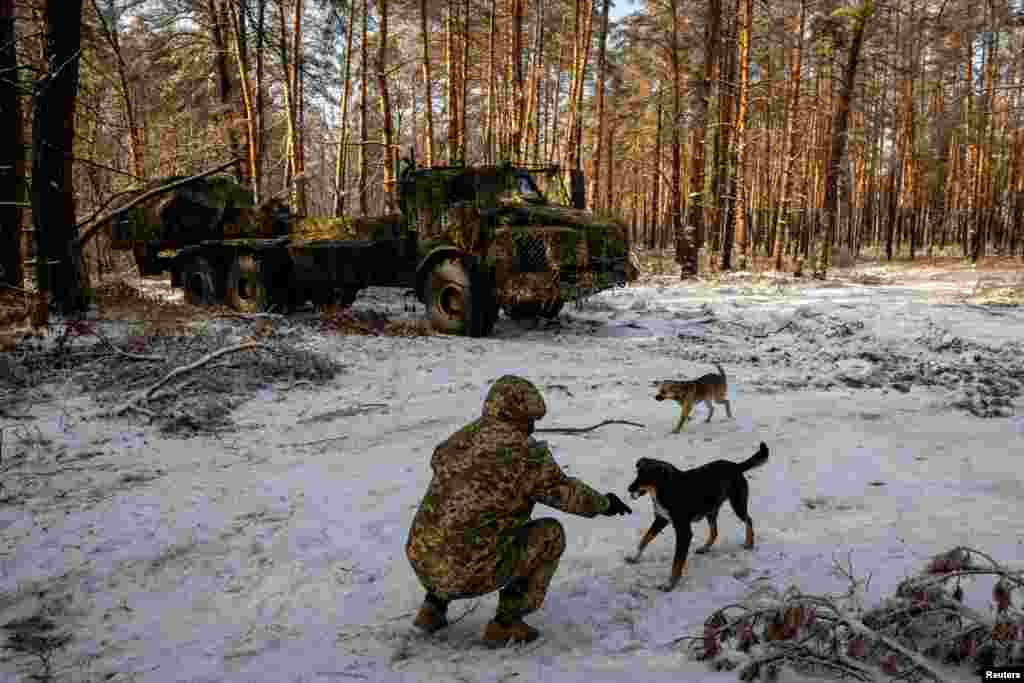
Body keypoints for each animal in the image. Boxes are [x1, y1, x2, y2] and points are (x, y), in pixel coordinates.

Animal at [622, 444, 770, 593]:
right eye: (637, 474)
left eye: (646, 476)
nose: (629, 489)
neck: (666, 488)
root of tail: (735, 465)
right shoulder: (661, 520)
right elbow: (644, 539)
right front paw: (635, 558)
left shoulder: (683, 532)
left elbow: (677, 562)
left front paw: (670, 584)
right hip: (711, 510)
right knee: (715, 531)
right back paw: (705, 547)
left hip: (737, 505)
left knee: (749, 520)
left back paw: (749, 543)